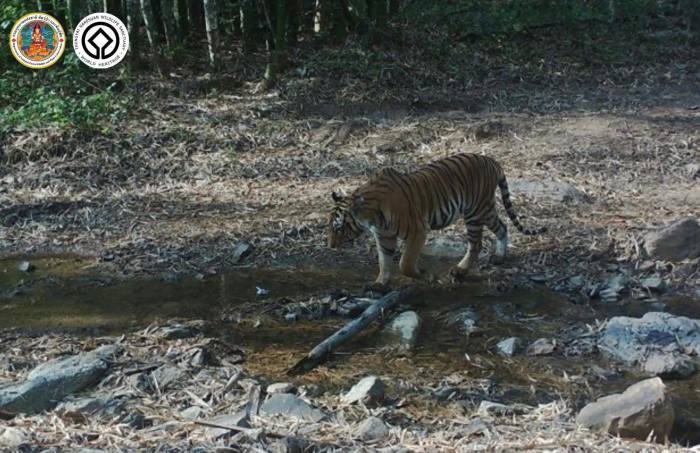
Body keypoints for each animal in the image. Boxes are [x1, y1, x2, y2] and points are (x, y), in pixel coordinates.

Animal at [327, 153, 546, 288]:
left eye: (338, 228)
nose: (330, 246)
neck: (371, 217)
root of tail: (492, 161)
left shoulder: (418, 230)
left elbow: (405, 263)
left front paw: (425, 274)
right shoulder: (384, 236)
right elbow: (384, 261)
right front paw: (380, 283)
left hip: (475, 212)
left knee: (476, 243)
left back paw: (460, 270)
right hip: (486, 209)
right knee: (502, 226)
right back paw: (500, 257)